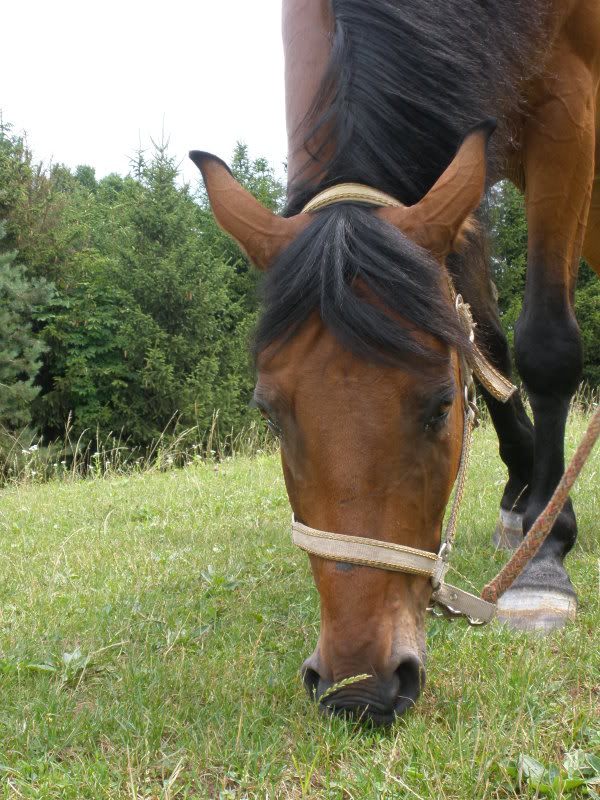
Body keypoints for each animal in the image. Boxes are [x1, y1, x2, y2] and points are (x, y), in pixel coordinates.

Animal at [191, 0, 600, 724]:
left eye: (439, 407)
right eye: (269, 415)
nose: (361, 687)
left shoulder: (569, 108)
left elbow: (545, 345)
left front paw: (545, 554)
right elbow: (482, 340)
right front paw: (527, 495)